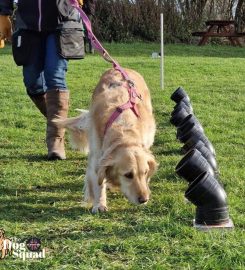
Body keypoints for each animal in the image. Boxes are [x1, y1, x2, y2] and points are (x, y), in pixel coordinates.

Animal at [54, 67, 156, 213]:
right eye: (128, 175)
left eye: (145, 172)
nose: (144, 200)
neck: (124, 132)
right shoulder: (97, 157)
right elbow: (98, 182)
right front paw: (100, 204)